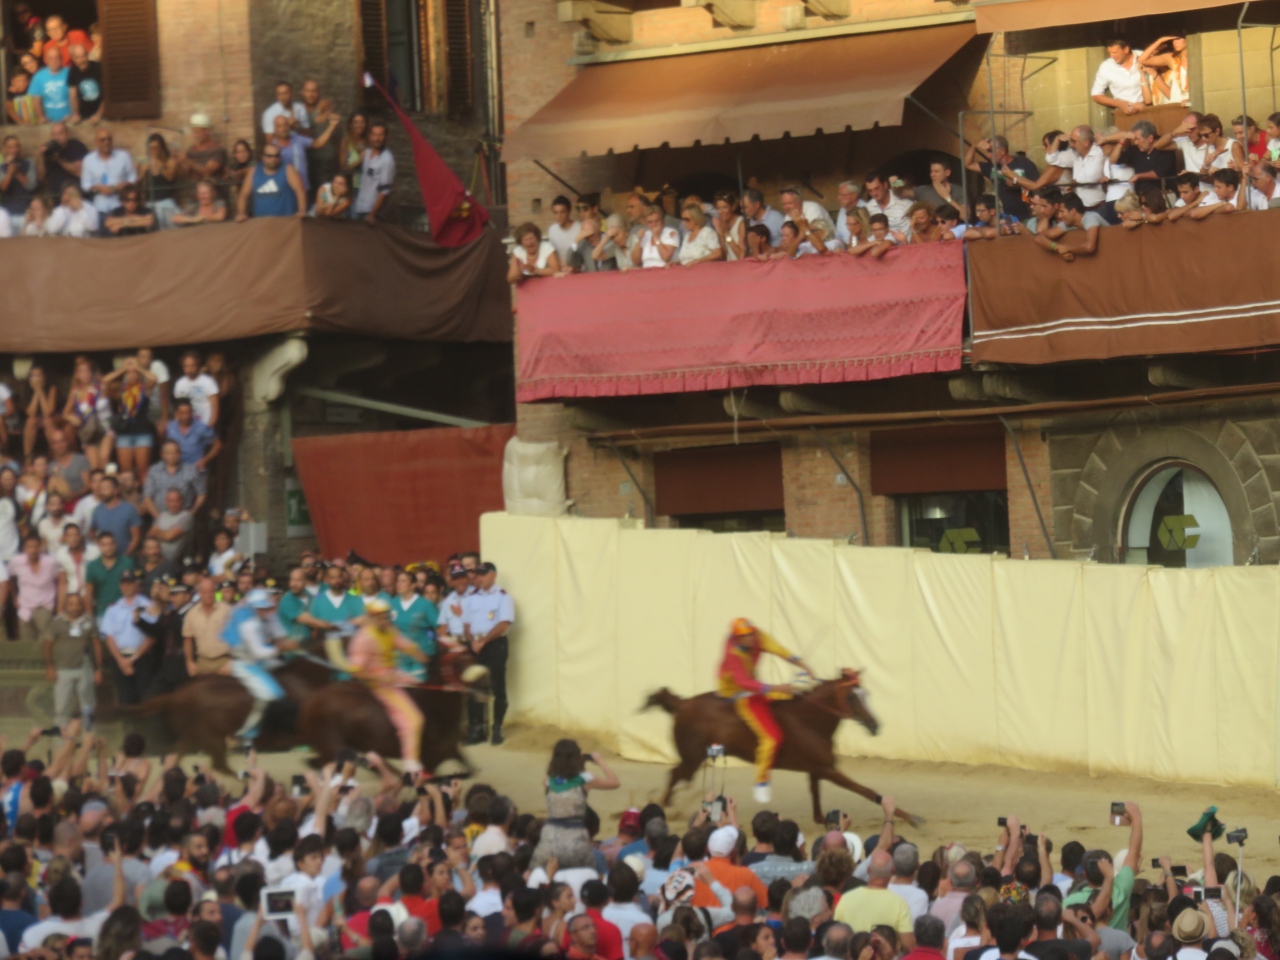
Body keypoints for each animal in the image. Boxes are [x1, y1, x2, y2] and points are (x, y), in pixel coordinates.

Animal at [645, 670, 926, 829]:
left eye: (864, 694)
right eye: (851, 696)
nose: (875, 725)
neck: (808, 721)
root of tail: (682, 703)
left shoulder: (817, 768)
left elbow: (816, 794)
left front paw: (822, 819)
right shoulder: (829, 769)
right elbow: (865, 790)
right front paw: (911, 817)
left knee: (676, 776)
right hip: (692, 758)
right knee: (675, 775)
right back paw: (667, 808)